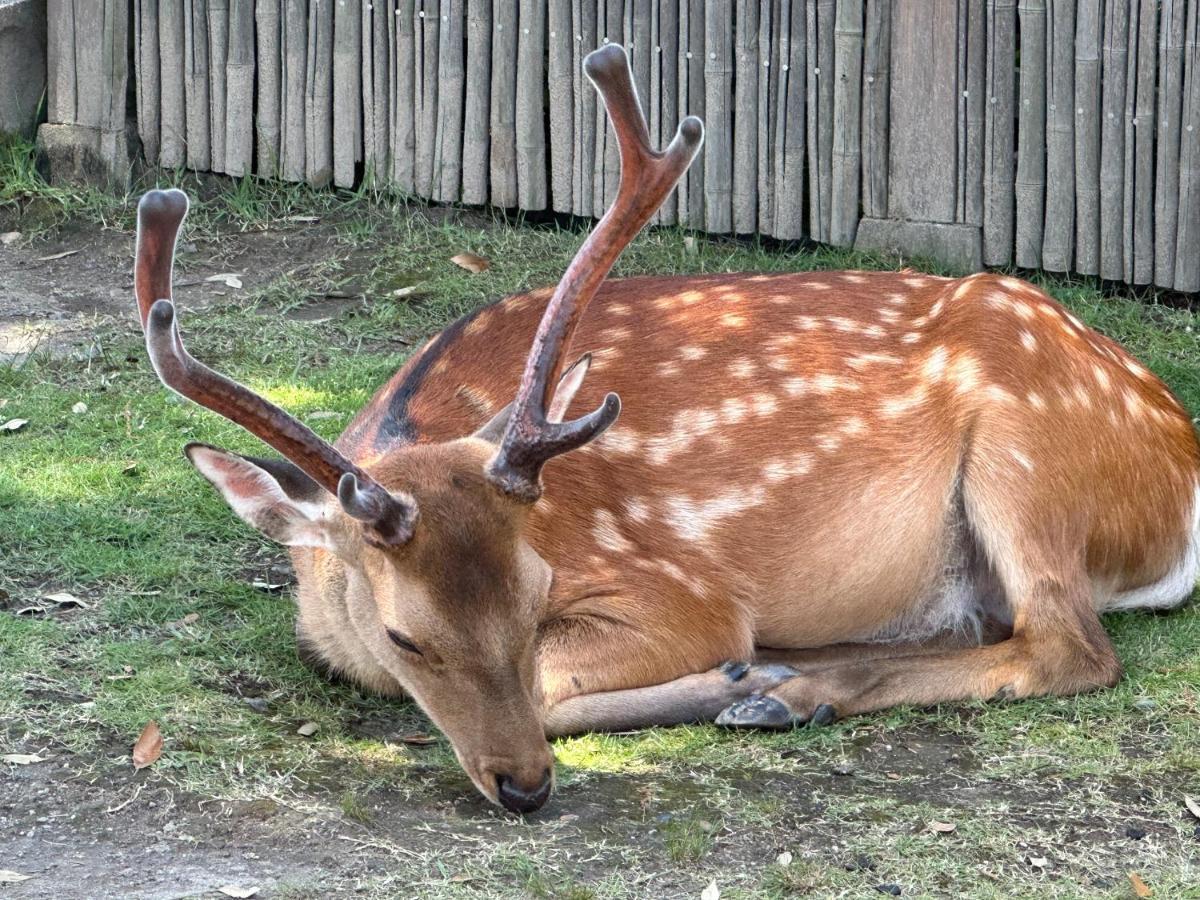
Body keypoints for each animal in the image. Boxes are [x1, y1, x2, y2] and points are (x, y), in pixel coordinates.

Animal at [133, 44, 1200, 816]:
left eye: (537, 593)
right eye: (406, 635)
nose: (524, 787)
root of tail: (1181, 471)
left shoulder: (675, 589)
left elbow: (557, 679)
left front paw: (723, 673)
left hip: (1028, 450)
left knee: (1069, 646)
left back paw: (774, 686)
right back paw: (790, 679)